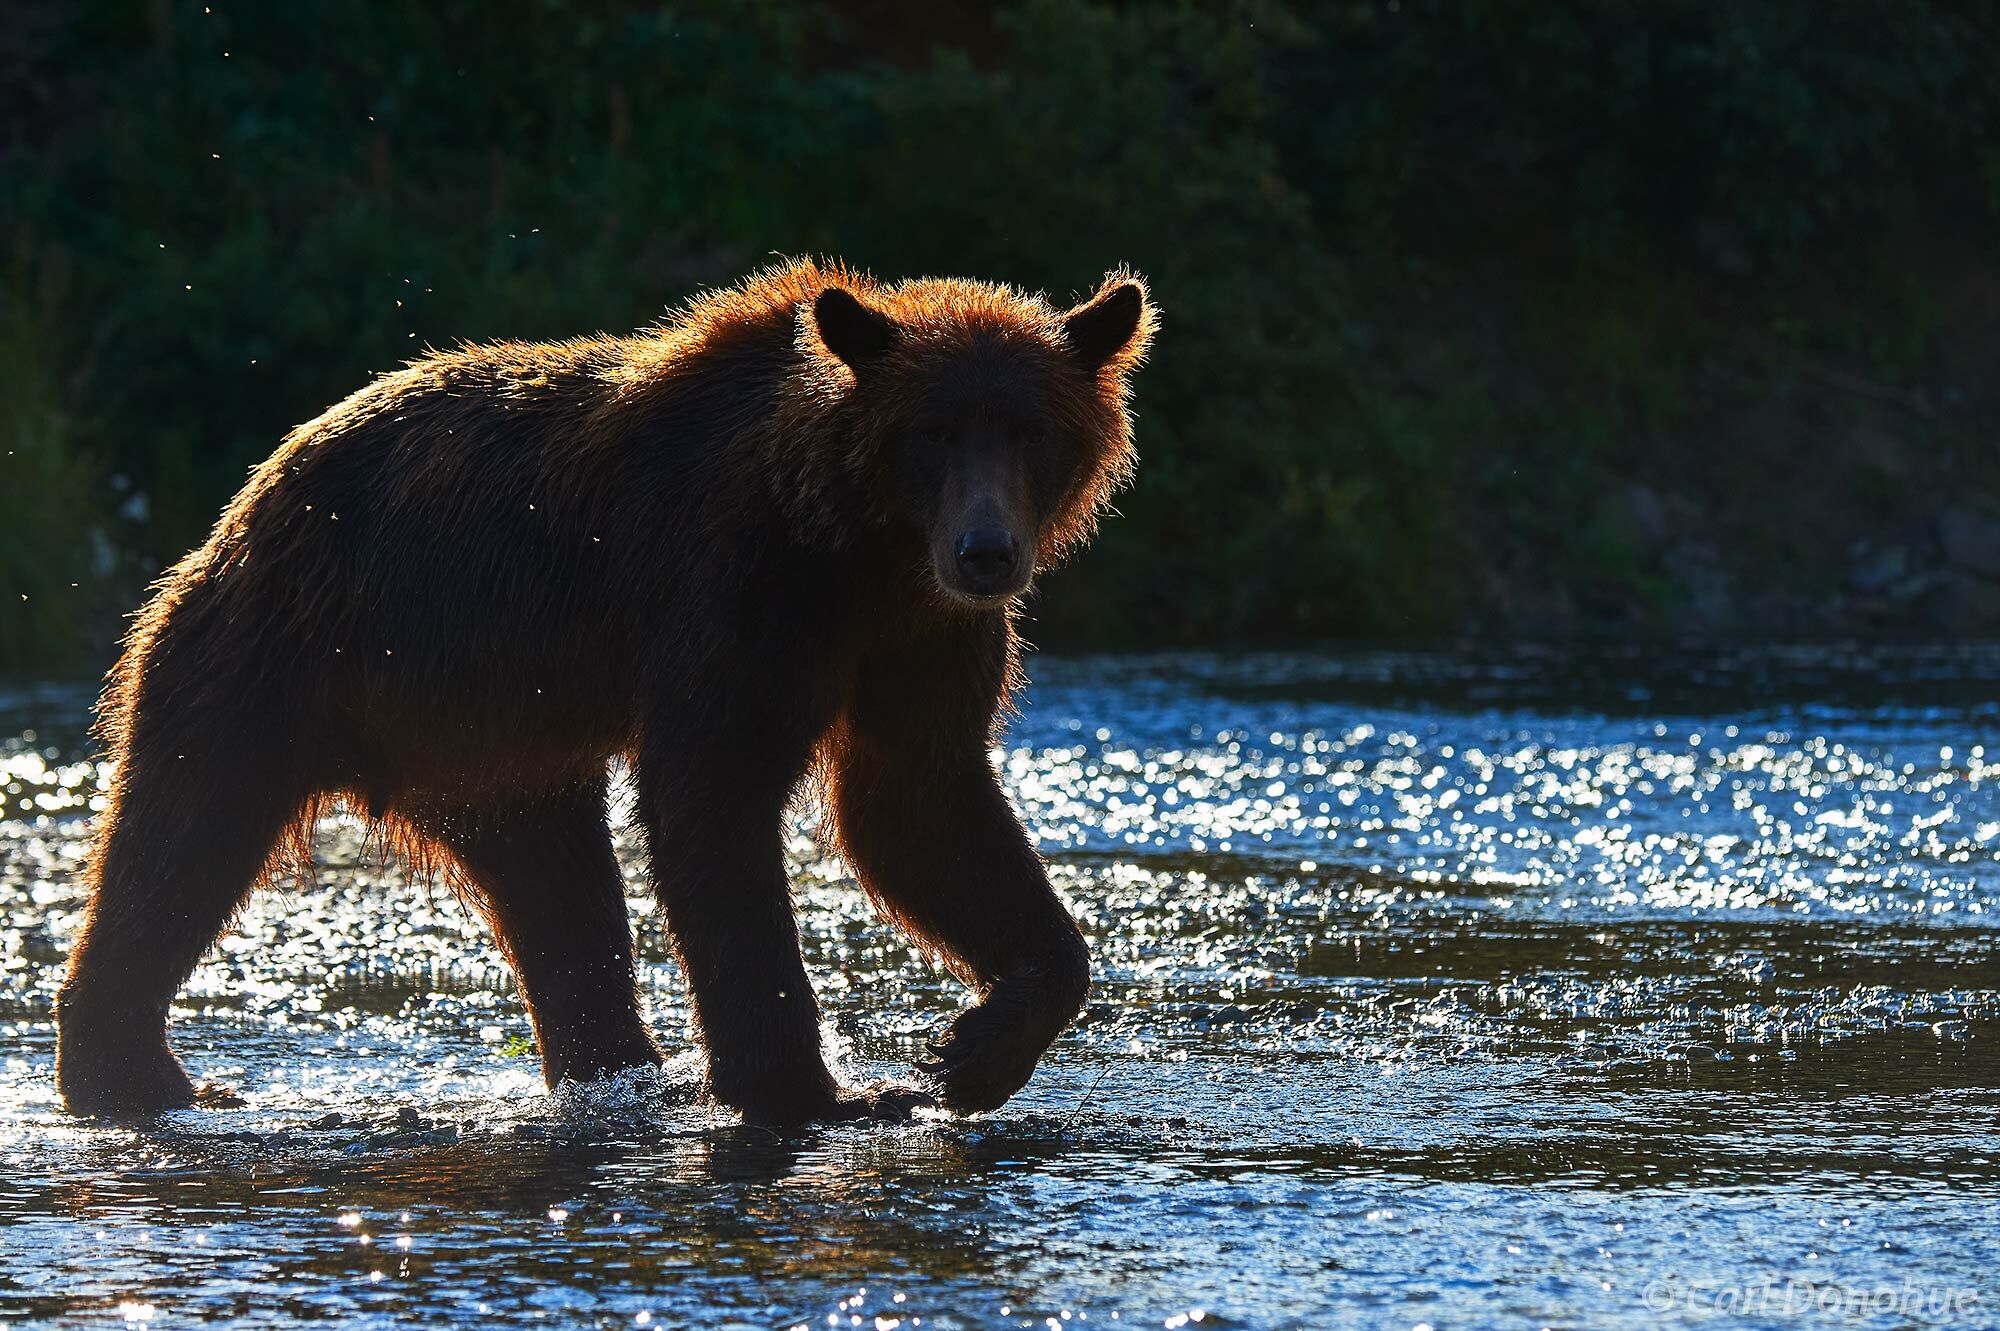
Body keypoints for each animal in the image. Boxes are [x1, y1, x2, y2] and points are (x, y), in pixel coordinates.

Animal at [55, 258, 1154, 1125]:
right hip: (280, 657)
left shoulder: (921, 638)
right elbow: (714, 797)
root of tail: (252, 494)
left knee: (559, 890)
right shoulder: (735, 592)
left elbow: (920, 804)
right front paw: (819, 1087)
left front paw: (977, 1047)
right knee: (185, 834)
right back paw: (138, 1073)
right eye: (932, 432)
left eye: (1030, 430)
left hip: (487, 737)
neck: (856, 545)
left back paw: (624, 1073)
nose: (986, 551)